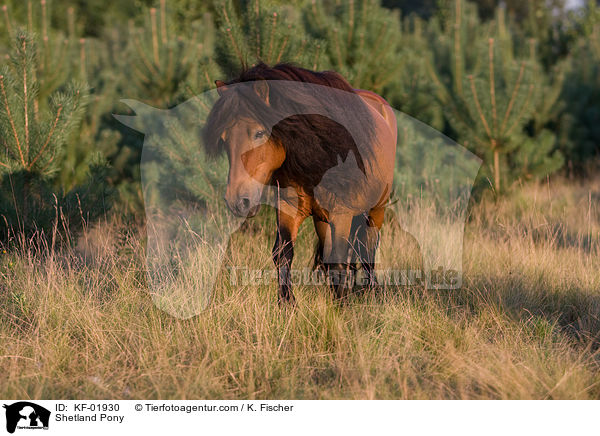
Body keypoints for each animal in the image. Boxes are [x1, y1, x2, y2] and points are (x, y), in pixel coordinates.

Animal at [205, 63, 398, 304]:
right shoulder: (289, 209)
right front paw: (287, 304)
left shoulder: (342, 213)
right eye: (224, 139)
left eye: (259, 133)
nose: (237, 201)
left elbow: (340, 259)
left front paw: (341, 305)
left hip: (376, 209)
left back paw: (372, 294)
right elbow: (283, 254)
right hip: (322, 220)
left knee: (368, 251)